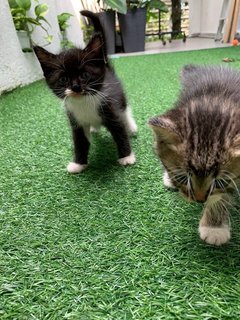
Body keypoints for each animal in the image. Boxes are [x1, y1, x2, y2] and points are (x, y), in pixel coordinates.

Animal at [33, 11, 137, 174]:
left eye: (84, 75)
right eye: (63, 79)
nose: (76, 87)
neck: (84, 102)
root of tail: (105, 66)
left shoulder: (110, 108)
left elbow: (120, 132)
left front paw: (126, 157)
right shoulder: (76, 121)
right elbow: (80, 141)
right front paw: (78, 164)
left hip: (119, 96)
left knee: (125, 110)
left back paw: (131, 126)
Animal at [150, 64, 240, 245]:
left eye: (221, 182)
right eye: (183, 178)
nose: (199, 200)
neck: (216, 97)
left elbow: (223, 195)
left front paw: (214, 226)